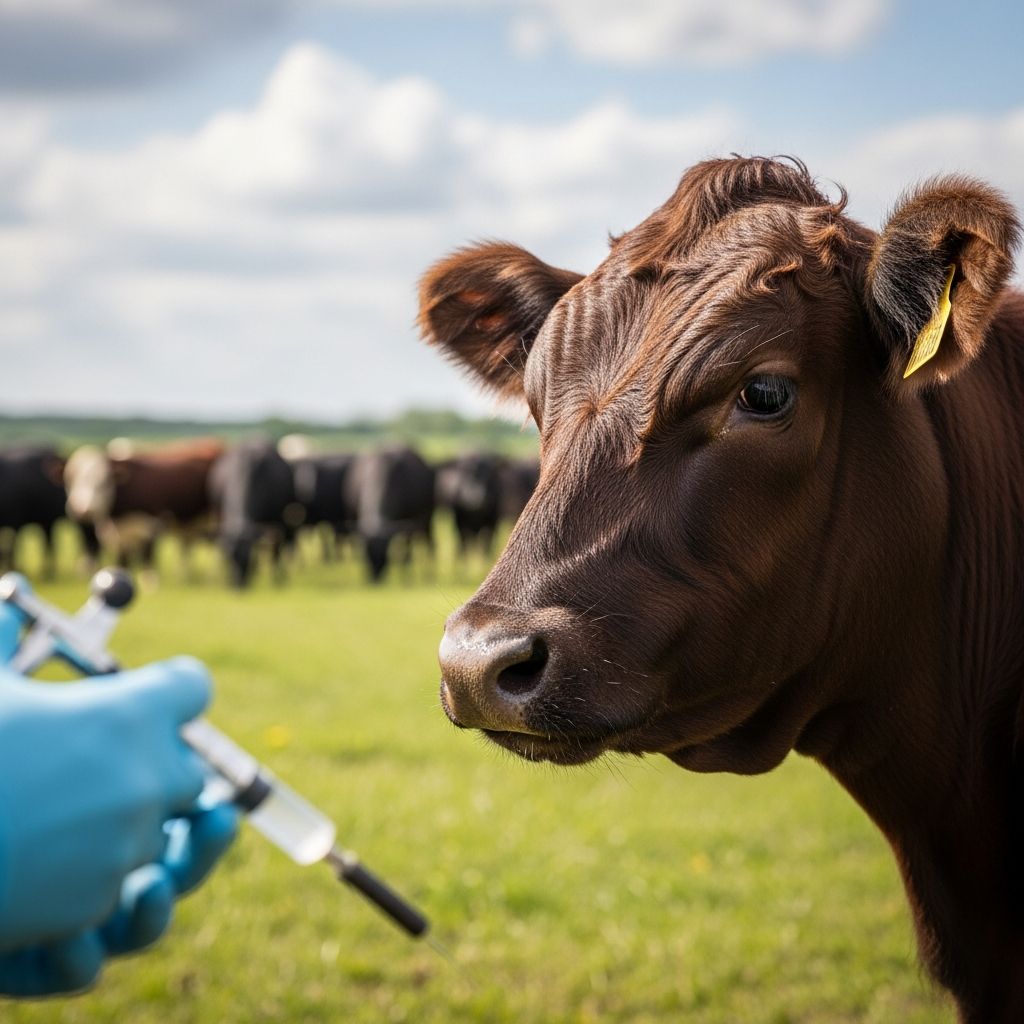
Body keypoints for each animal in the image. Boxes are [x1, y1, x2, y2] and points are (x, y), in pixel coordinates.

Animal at [64, 438, 223, 578]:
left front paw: (149, 579)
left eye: (103, 482)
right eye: (71, 480)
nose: (82, 510)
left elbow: (148, 552)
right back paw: (185, 576)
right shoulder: (120, 533)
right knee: (187, 546)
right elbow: (123, 558)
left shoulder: (151, 522)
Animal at [210, 439, 297, 588]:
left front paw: (277, 579)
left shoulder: (277, 521)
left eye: (247, 557)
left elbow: (275, 551)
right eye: (230, 559)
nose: (238, 585)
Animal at [347, 446, 435, 583]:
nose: (375, 579)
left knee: (428, 542)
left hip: (426, 519)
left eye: (385, 554)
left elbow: (406, 550)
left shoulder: (409, 524)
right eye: (366, 555)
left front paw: (406, 575)